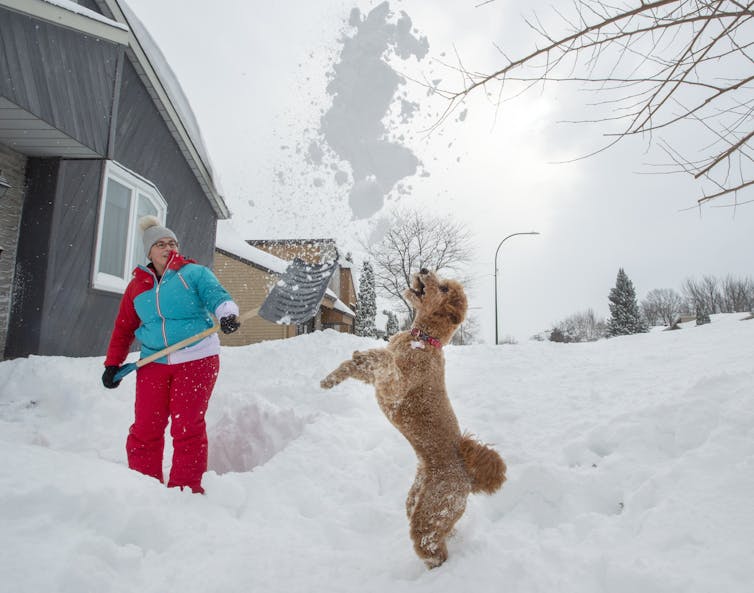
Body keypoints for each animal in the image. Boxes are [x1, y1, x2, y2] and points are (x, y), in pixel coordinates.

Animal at [318, 270, 506, 568]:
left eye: (443, 288)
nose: (425, 270)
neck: (424, 339)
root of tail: (467, 476)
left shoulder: (395, 388)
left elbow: (384, 360)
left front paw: (368, 355)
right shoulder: (378, 380)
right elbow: (363, 365)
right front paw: (332, 378)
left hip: (430, 513)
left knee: (433, 549)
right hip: (417, 498)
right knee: (440, 529)